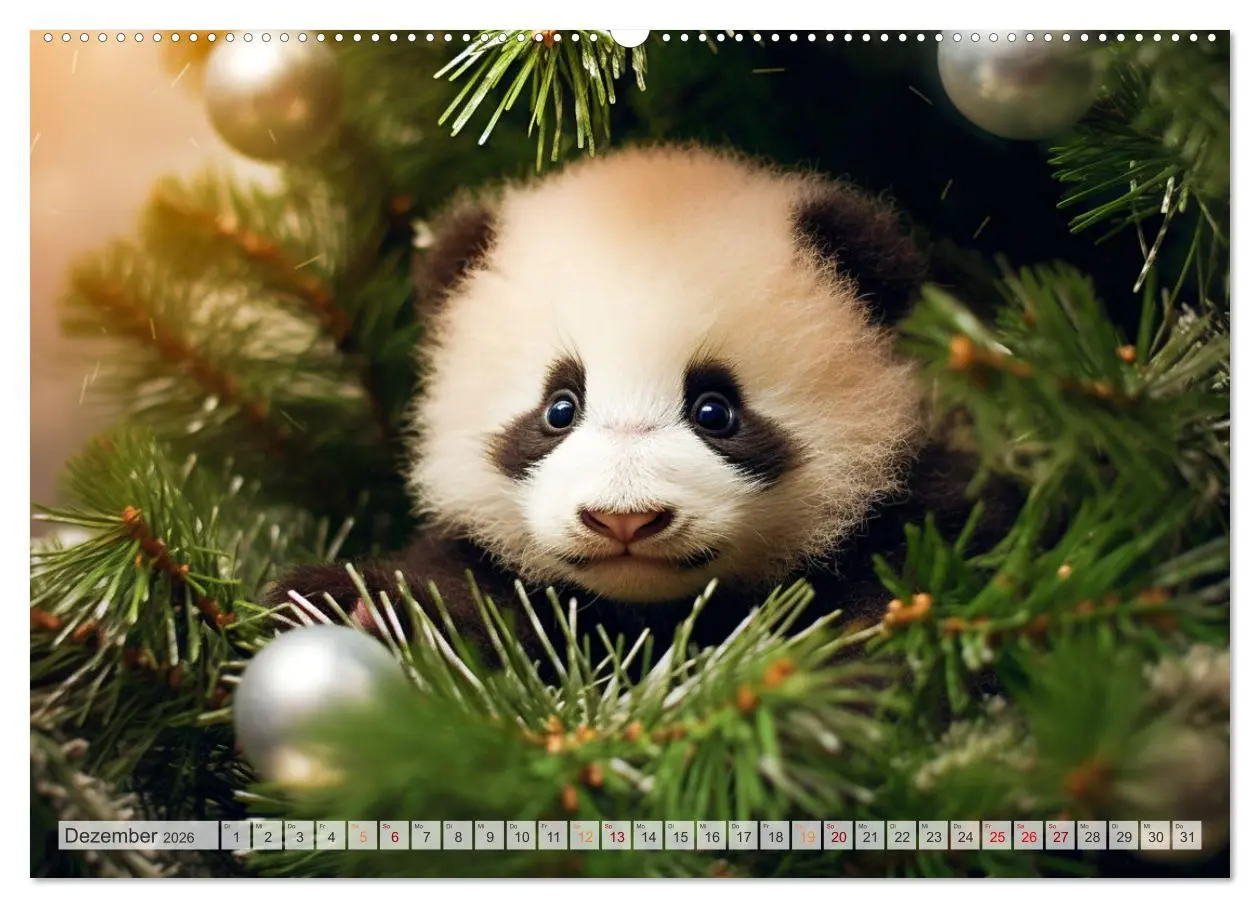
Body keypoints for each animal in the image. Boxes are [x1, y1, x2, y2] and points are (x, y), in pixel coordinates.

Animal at [270, 144, 1015, 664]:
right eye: (559, 408)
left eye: (715, 410)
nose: (623, 520)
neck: (651, 614)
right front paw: (355, 610)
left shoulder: (916, 513)